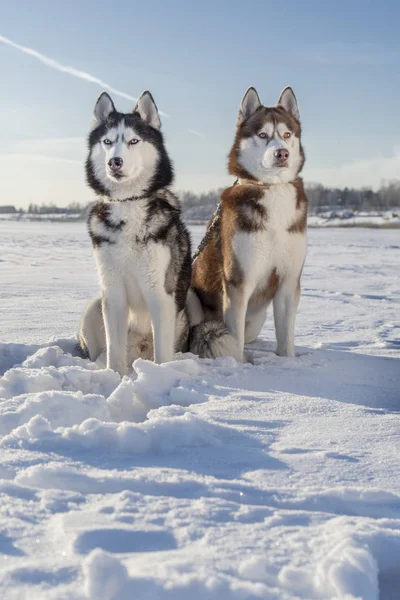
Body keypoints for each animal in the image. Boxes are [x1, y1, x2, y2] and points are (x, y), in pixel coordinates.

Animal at [79, 91, 191, 372]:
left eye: (133, 141)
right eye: (107, 141)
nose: (114, 162)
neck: (128, 205)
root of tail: (139, 347)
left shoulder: (160, 294)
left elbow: (162, 354)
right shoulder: (113, 292)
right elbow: (114, 352)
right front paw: (113, 377)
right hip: (94, 307)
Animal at [191, 86, 306, 358]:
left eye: (287, 134)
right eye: (263, 134)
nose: (282, 153)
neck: (271, 189)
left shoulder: (289, 280)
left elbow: (286, 338)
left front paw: (289, 362)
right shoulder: (238, 281)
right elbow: (236, 340)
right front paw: (240, 364)